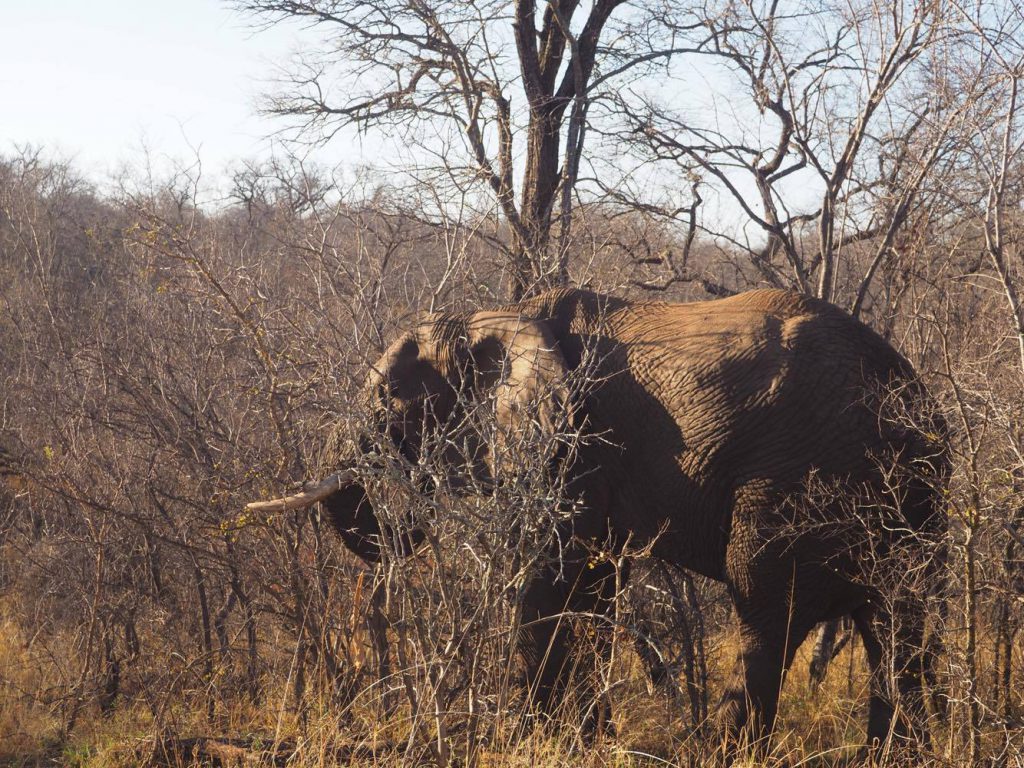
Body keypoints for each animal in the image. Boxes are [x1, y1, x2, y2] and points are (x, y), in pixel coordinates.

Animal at [245, 286, 942, 753]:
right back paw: (891, 756)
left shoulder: (574, 441)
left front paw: (522, 738)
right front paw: (585, 741)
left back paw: (719, 750)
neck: (499, 313)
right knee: (895, 623)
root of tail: (910, 398)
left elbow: (553, 576)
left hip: (801, 475)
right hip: (905, 500)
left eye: (391, 398)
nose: (399, 522)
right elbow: (595, 589)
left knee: (764, 604)